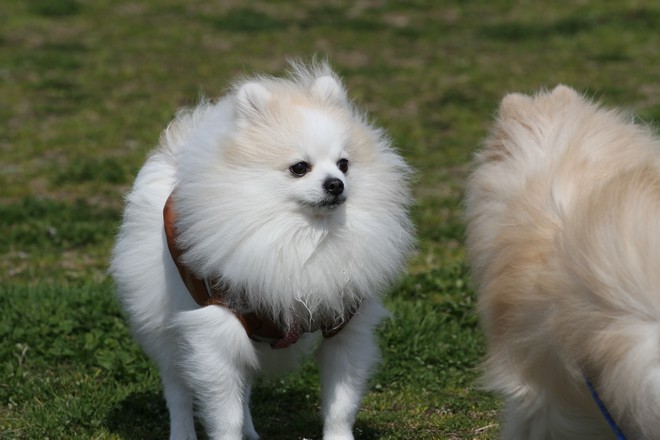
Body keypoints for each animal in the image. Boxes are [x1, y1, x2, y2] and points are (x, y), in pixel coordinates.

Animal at [110, 61, 414, 440]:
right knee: (177, 388)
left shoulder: (346, 327)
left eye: (344, 164)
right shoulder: (218, 331)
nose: (336, 185)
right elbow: (224, 416)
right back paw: (183, 432)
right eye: (300, 168)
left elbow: (341, 405)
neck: (302, 234)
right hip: (165, 324)